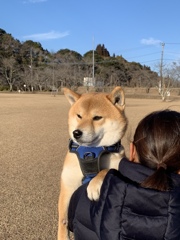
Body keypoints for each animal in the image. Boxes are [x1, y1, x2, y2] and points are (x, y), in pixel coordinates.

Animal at [58, 86, 127, 240]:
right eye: (79, 116)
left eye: (97, 118)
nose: (76, 132)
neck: (90, 151)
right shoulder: (68, 186)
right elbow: (63, 219)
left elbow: (106, 170)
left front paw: (94, 186)